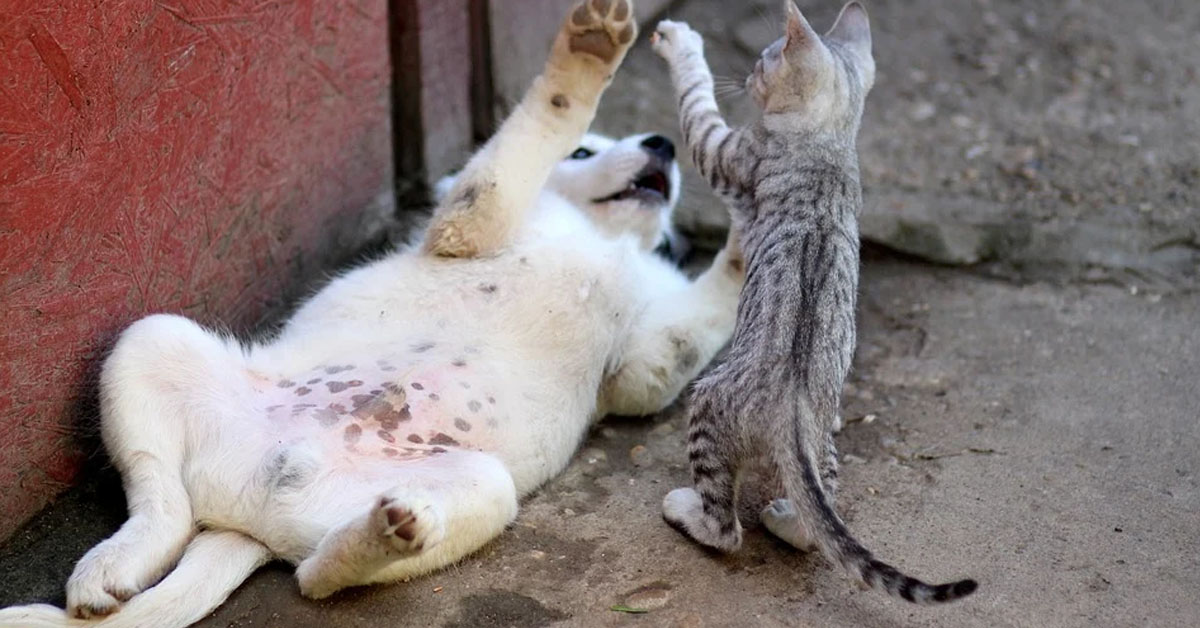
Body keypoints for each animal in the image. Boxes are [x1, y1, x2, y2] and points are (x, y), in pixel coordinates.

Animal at [0, 1, 744, 628]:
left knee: (312, 574)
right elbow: (538, 126)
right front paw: (589, 52)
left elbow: (705, 311)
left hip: (480, 485)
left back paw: (383, 535)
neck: (604, 238)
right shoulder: (471, 224)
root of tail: (245, 519)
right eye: (586, 150)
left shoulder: (643, 364)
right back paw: (111, 566)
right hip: (150, 339)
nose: (663, 143)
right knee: (163, 503)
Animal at [652, 2, 979, 607]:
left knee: (726, 529)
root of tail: (791, 414)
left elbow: (695, 100)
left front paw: (681, 44)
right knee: (814, 524)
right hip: (825, 440)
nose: (749, 75)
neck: (829, 140)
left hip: (706, 403)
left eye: (763, 60)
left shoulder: (724, 151)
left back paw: (689, 512)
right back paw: (786, 518)